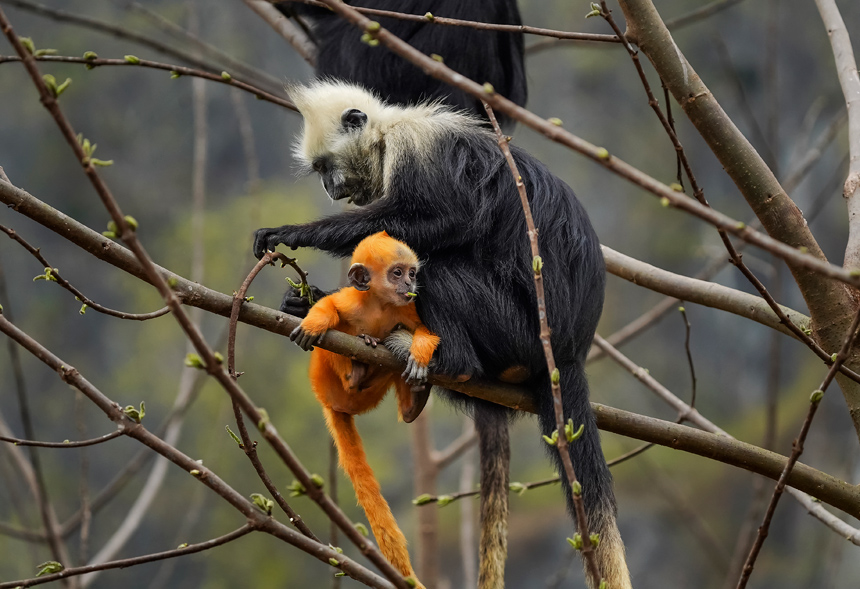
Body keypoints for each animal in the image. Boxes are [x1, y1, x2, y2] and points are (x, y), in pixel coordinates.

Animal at [290, 231, 440, 584]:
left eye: (411, 273)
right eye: (397, 273)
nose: (410, 283)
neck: (379, 305)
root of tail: (332, 403)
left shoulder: (407, 307)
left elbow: (424, 331)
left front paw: (420, 352)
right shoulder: (351, 300)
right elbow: (331, 306)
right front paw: (314, 321)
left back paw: (413, 400)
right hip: (324, 374)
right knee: (339, 339)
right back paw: (356, 370)